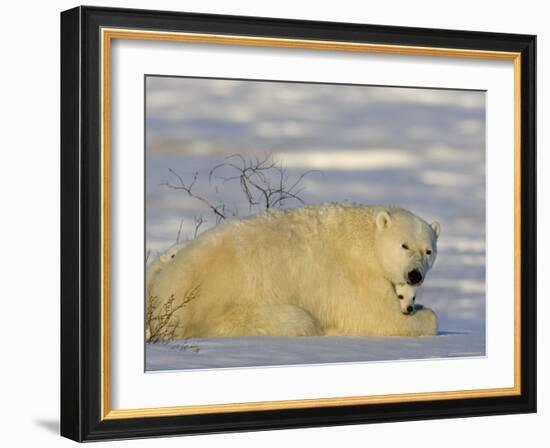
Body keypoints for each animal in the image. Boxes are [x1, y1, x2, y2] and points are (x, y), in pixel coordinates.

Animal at [149, 203, 442, 336]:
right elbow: (379, 317)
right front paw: (422, 315)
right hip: (229, 312)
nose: (414, 275)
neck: (367, 239)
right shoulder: (355, 276)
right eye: (404, 245)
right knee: (299, 320)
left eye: (428, 251)